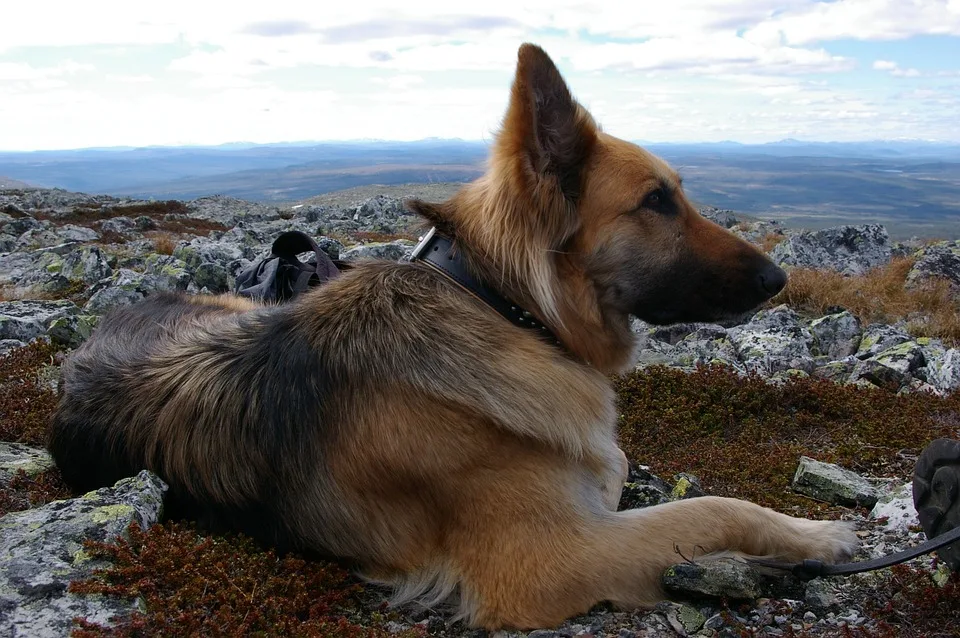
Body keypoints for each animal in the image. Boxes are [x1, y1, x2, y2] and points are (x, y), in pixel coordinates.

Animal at [47, 43, 856, 632]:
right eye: (657, 200)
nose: (779, 278)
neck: (503, 306)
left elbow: (624, 470)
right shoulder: (554, 561)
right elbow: (712, 508)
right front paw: (815, 538)